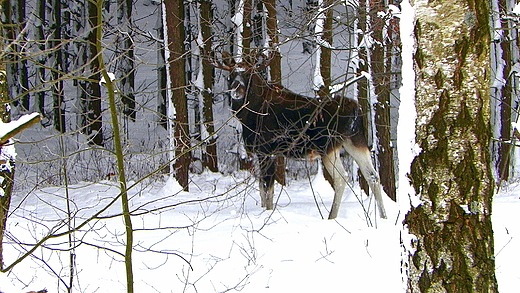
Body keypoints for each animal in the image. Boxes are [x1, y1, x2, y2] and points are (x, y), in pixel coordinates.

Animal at [213, 51, 388, 218]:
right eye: (231, 75)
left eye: (248, 74)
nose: (236, 90)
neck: (249, 115)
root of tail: (355, 110)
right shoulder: (262, 152)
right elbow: (261, 187)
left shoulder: (267, 150)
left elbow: (268, 188)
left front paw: (267, 213)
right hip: (355, 141)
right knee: (373, 176)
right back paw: (383, 216)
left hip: (328, 146)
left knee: (341, 178)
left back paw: (331, 216)